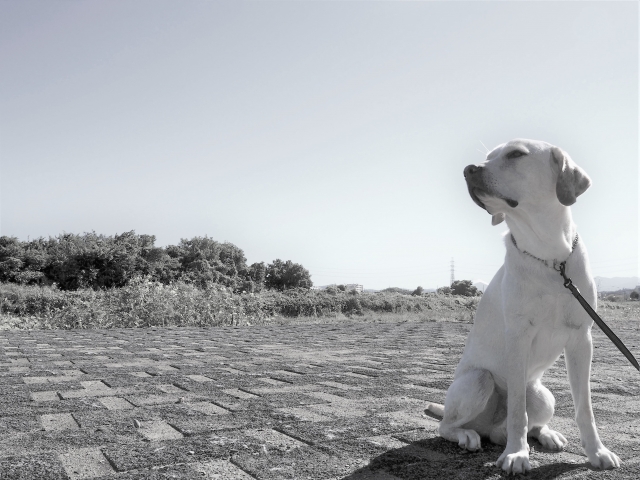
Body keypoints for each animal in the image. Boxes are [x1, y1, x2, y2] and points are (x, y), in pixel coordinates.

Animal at [424, 141, 620, 474]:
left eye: (516, 154)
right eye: (487, 158)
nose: (468, 169)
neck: (550, 258)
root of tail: (490, 429)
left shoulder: (581, 339)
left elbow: (585, 408)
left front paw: (597, 452)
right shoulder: (518, 338)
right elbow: (517, 411)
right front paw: (517, 454)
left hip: (542, 394)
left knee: (530, 423)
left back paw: (546, 434)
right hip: (478, 380)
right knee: (448, 426)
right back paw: (468, 435)